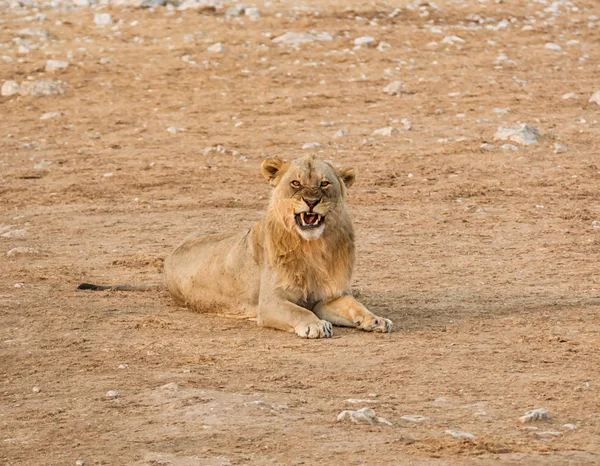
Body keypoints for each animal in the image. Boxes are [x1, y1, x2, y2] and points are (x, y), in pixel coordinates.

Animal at [162, 156, 392, 338]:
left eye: (324, 183)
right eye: (296, 183)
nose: (311, 201)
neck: (313, 247)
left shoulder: (330, 297)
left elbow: (356, 305)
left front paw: (377, 319)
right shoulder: (270, 302)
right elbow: (299, 311)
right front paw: (315, 325)